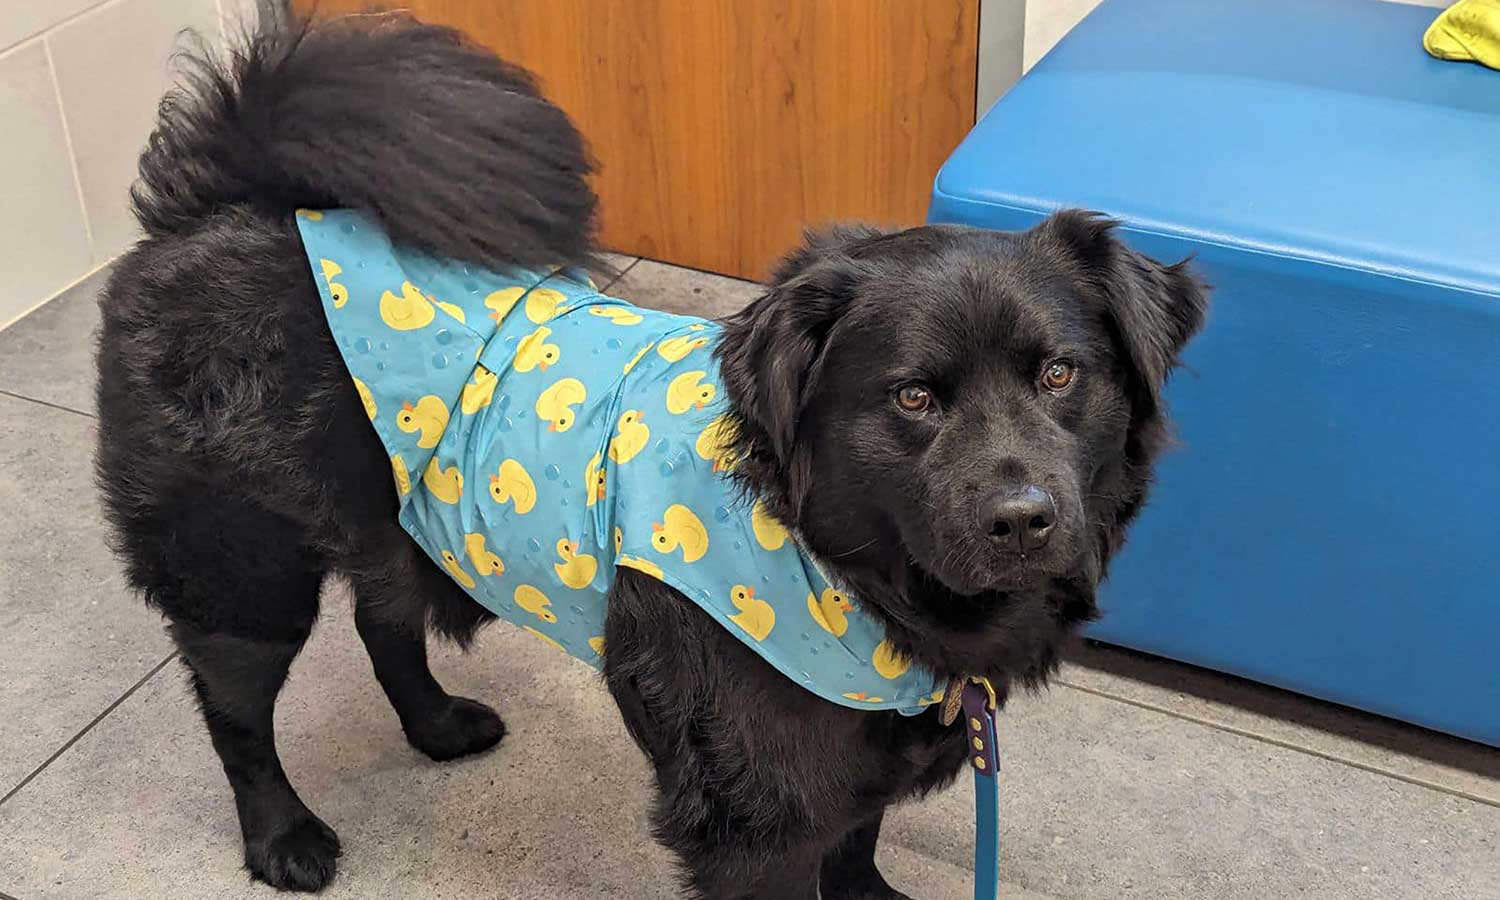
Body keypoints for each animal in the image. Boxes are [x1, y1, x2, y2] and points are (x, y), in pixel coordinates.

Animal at [96, 8, 1206, 900]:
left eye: (1059, 374)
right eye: (914, 398)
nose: (1023, 520)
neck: (840, 568)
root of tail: (228, 203)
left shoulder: (854, 765)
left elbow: (856, 846)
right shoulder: (751, 817)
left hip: (396, 520)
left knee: (383, 618)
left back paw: (436, 725)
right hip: (240, 568)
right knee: (236, 712)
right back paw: (282, 836)